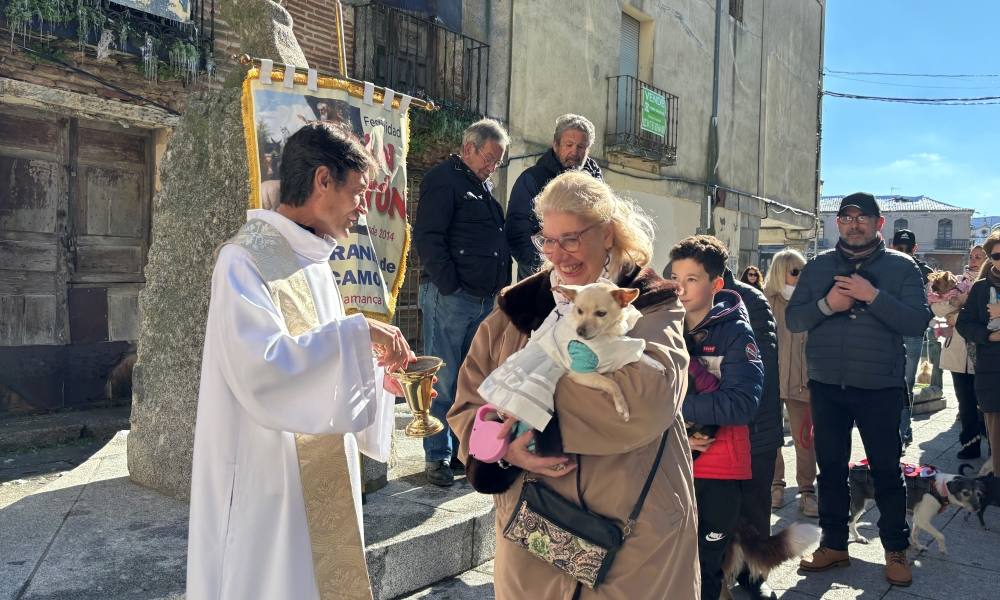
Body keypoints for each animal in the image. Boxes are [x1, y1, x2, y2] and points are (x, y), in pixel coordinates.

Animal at [478, 304, 648, 432]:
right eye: (580, 311)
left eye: (601, 313)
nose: (581, 331)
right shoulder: (580, 372)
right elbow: (612, 383)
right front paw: (622, 406)